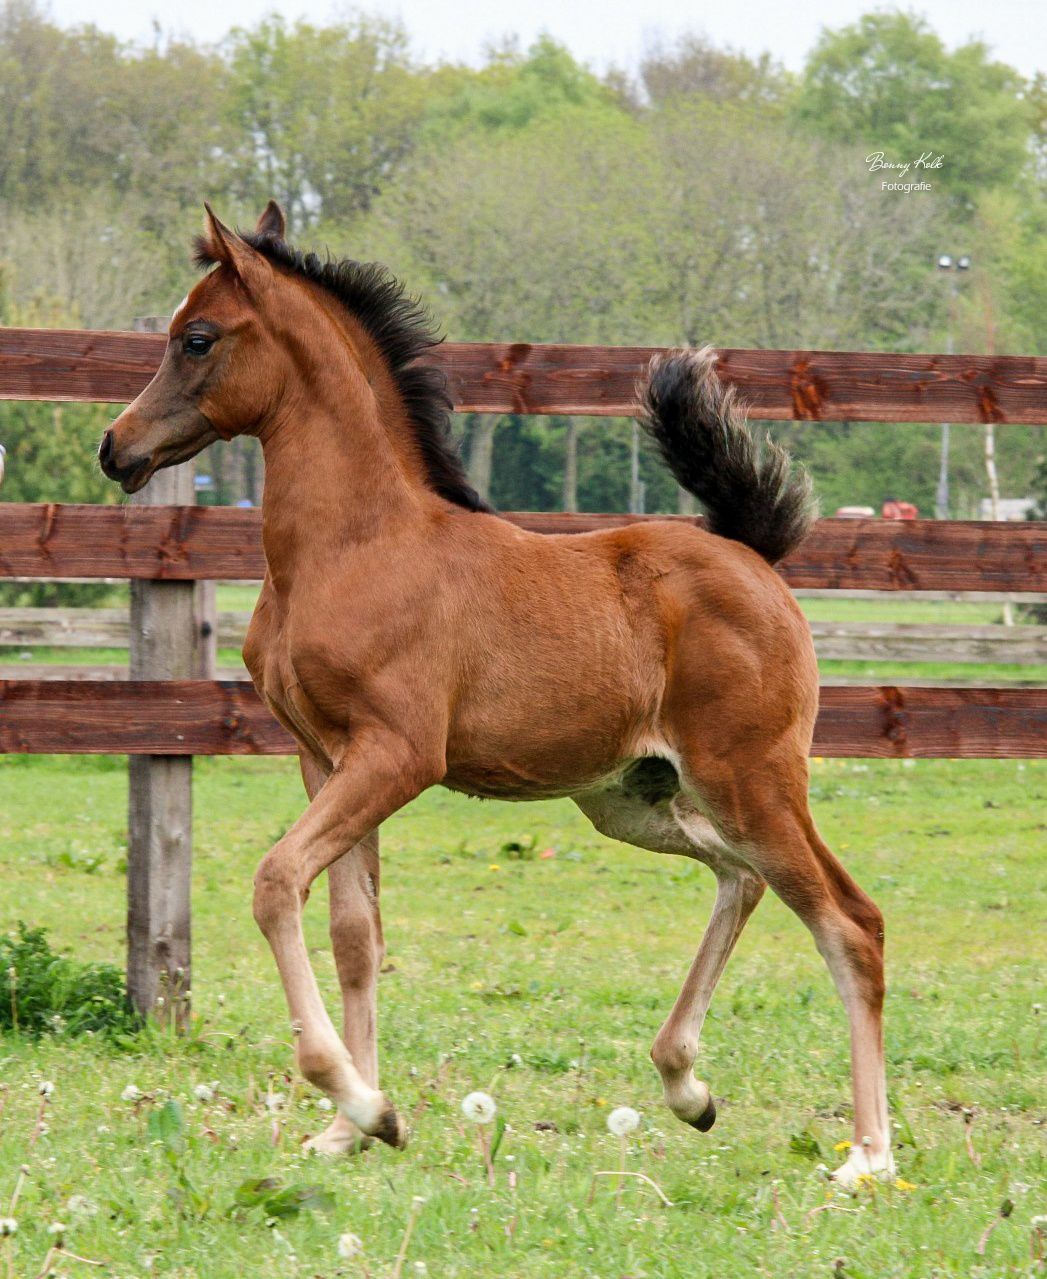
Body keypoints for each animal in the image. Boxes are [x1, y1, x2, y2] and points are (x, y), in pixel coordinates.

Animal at [99, 202, 893, 1187]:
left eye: (197, 337)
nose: (115, 448)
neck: (354, 545)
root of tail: (754, 558)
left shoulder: (396, 755)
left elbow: (276, 880)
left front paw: (356, 1097)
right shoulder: (322, 757)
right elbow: (355, 933)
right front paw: (355, 1126)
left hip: (753, 777)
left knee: (846, 921)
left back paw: (868, 1154)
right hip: (632, 797)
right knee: (742, 879)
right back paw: (687, 1086)